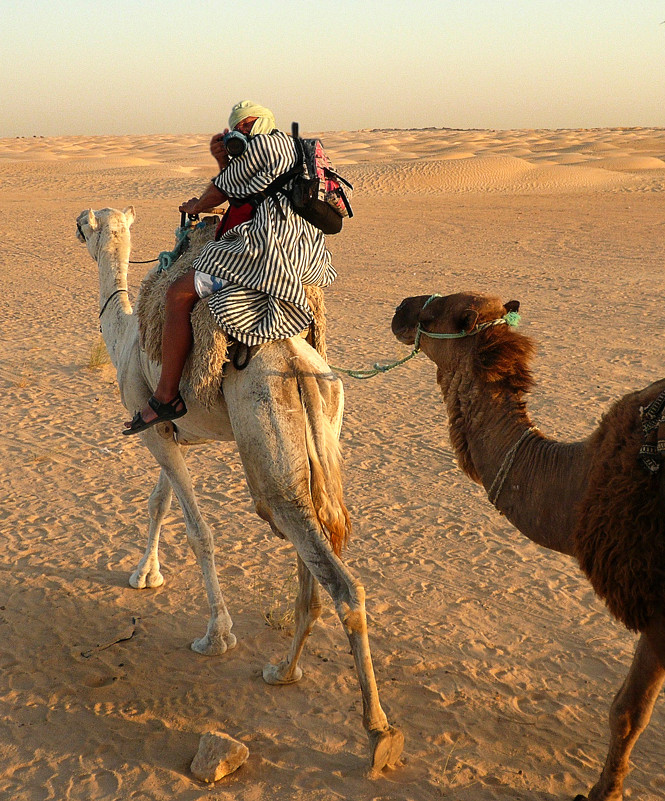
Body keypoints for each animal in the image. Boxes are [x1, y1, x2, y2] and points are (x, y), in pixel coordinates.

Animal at [75, 206, 402, 776]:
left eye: (89, 223)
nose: (76, 225)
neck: (125, 335)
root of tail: (299, 369)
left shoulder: (152, 428)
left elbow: (198, 530)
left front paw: (216, 635)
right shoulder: (173, 431)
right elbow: (158, 502)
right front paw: (145, 575)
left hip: (267, 452)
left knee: (341, 583)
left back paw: (376, 731)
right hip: (313, 445)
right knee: (313, 551)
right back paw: (284, 671)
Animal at [392, 290, 660, 800]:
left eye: (434, 312)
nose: (400, 309)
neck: (581, 482)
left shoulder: (658, 611)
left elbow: (626, 712)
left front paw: (603, 792)